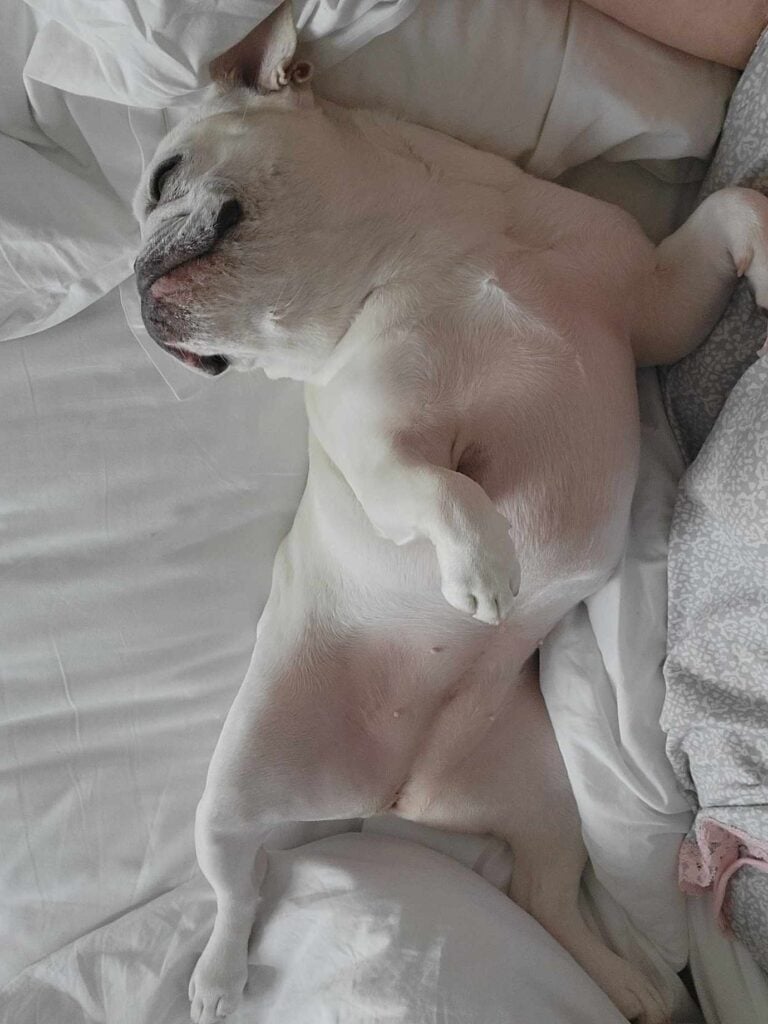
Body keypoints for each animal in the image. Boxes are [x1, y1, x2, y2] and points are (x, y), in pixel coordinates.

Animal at [135, 4, 768, 1019]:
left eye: (162, 179)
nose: (133, 289)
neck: (429, 240)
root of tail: (397, 793)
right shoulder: (385, 442)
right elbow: (442, 486)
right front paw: (484, 566)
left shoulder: (649, 305)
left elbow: (734, 215)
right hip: (236, 790)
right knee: (239, 884)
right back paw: (218, 977)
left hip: (545, 806)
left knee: (545, 897)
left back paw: (631, 984)